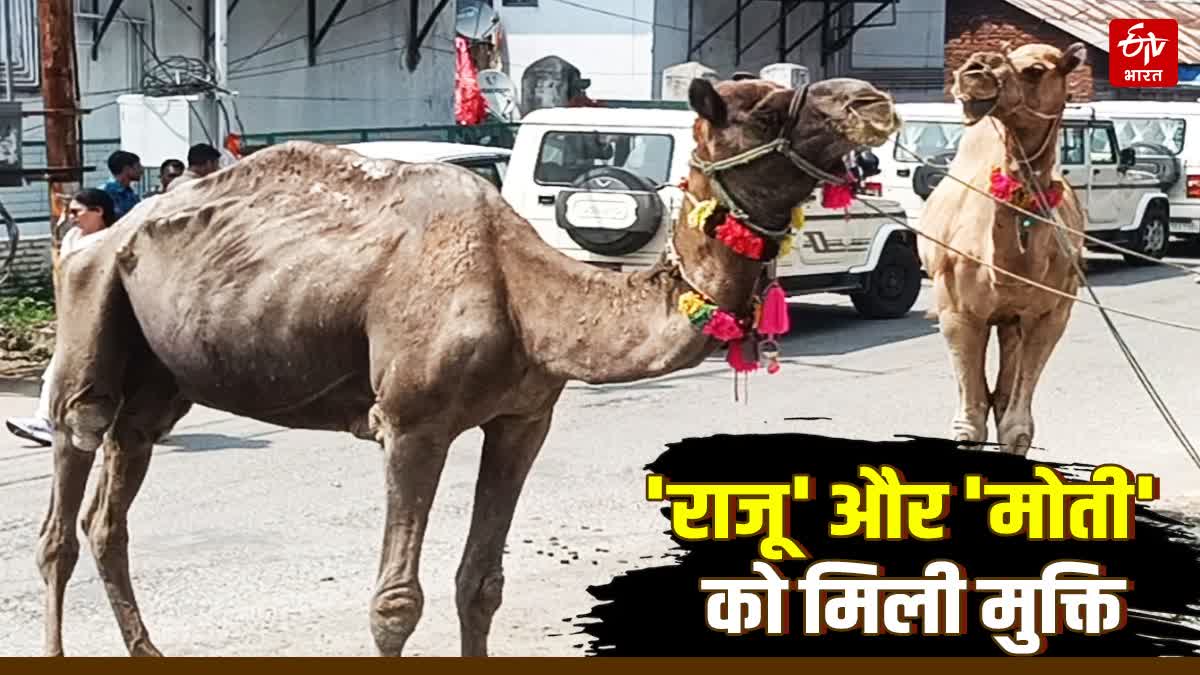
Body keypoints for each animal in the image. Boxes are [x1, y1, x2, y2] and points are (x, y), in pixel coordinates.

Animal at [34, 75, 899, 657]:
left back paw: (147, 649)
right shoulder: (412, 423)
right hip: (89, 313)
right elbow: (395, 601)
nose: (875, 101)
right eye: (765, 109)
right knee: (67, 490)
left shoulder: (523, 417)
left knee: (111, 504)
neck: (529, 294)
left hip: (160, 381)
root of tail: (91, 236)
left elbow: (480, 584)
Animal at [918, 42, 1088, 455]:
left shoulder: (1051, 314)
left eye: (1036, 70)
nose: (974, 71)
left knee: (1003, 394)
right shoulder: (957, 311)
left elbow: (1017, 426)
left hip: (1012, 320)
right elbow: (968, 424)